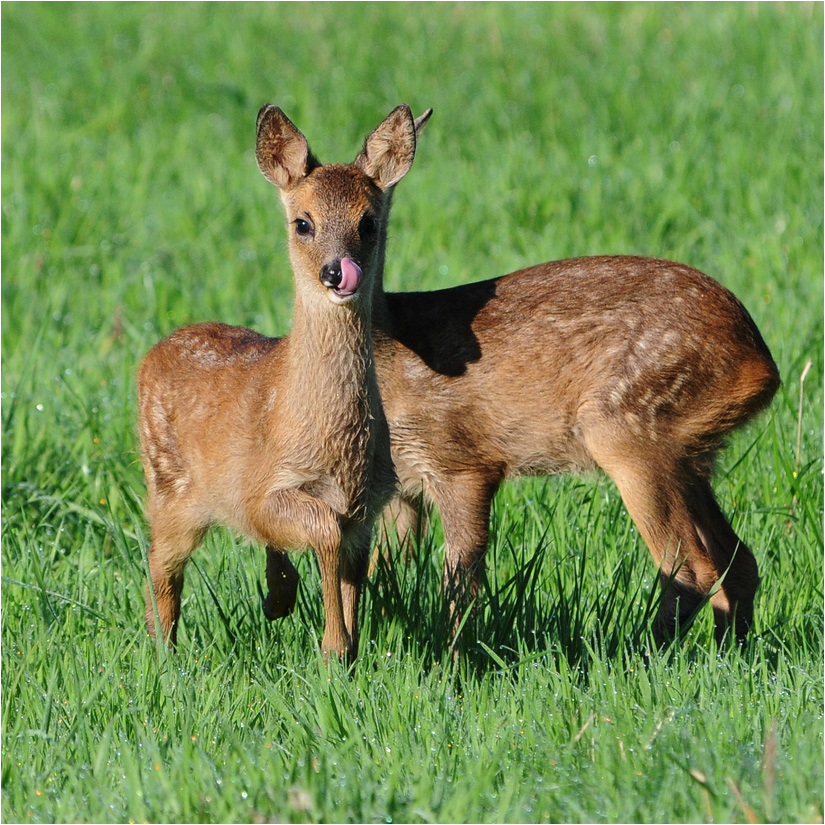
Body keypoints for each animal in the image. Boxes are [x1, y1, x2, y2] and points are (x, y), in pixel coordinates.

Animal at [138, 103, 418, 660]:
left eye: (370, 222)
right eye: (302, 223)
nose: (337, 272)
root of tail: (149, 357)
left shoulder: (366, 506)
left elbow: (352, 573)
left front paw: (346, 647)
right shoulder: (265, 489)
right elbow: (323, 535)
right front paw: (334, 646)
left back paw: (276, 598)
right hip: (170, 487)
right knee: (161, 565)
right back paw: (165, 654)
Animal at [266, 108, 780, 644]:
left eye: (368, 222)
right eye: (303, 223)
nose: (337, 272)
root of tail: (761, 363)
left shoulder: (463, 462)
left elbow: (459, 583)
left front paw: (453, 656)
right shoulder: (398, 488)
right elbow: (378, 576)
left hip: (631, 432)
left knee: (692, 569)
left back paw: (642, 650)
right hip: (693, 454)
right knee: (740, 563)